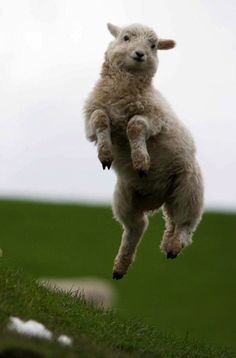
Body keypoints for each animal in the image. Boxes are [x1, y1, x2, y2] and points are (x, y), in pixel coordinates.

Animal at [84, 23, 204, 280]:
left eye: (153, 45)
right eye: (126, 37)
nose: (140, 54)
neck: (123, 90)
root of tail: (159, 199)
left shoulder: (155, 120)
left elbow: (135, 126)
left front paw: (141, 161)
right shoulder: (92, 120)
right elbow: (100, 120)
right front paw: (106, 154)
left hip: (189, 187)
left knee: (186, 222)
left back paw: (174, 245)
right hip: (125, 198)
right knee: (136, 227)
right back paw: (121, 266)